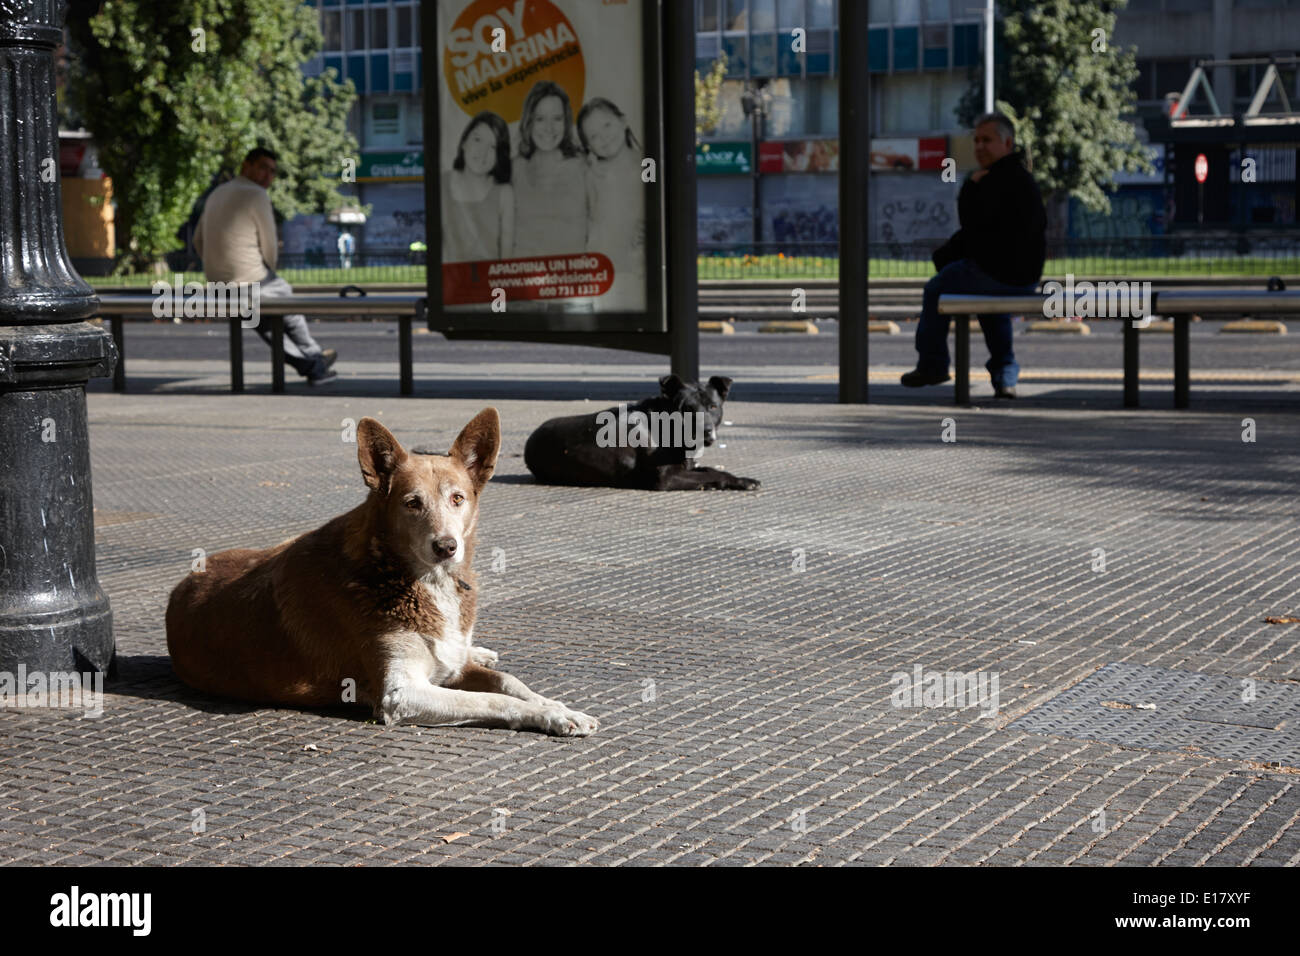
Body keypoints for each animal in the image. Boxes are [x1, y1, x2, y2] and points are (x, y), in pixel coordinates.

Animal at [165, 408, 600, 738]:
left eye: (457, 498)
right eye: (412, 503)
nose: (446, 547)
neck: (422, 581)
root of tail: (180, 587)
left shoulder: (453, 669)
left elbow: (510, 683)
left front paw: (556, 706)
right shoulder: (401, 693)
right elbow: (493, 699)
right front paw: (550, 714)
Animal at [520, 374, 759, 494]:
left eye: (713, 406)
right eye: (687, 409)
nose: (706, 430)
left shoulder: (686, 467)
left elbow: (710, 470)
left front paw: (741, 478)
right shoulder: (665, 478)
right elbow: (712, 474)